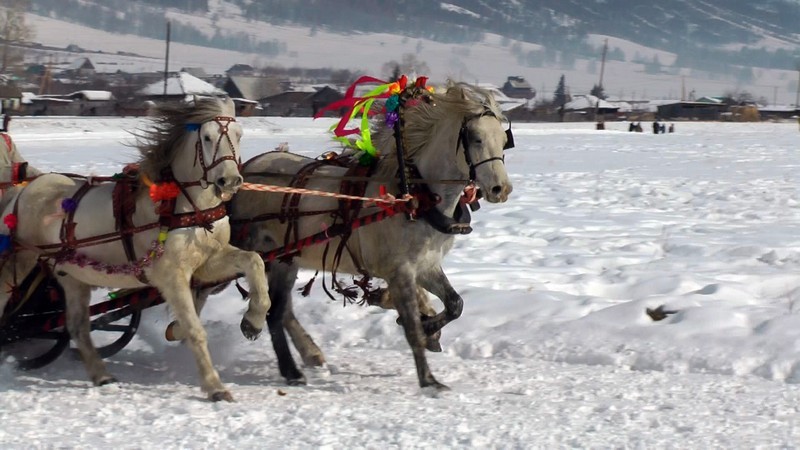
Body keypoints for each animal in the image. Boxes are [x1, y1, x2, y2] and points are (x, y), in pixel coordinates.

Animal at [0, 97, 271, 401]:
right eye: (207, 137)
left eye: (239, 135)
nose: (230, 181)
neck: (185, 208)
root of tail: (23, 188)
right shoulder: (170, 276)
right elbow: (194, 329)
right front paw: (214, 386)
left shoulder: (207, 262)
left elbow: (254, 261)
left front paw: (253, 321)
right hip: (19, 259)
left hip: (72, 276)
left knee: (78, 327)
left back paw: (101, 375)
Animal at [223, 81, 513, 390]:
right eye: (476, 138)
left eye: (503, 140)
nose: (501, 189)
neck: (416, 197)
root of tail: (247, 169)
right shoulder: (400, 271)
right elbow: (412, 327)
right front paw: (428, 378)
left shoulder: (426, 266)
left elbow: (455, 304)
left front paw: (429, 328)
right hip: (269, 255)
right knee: (272, 311)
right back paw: (281, 355)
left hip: (285, 260)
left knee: (280, 311)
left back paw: (299, 362)